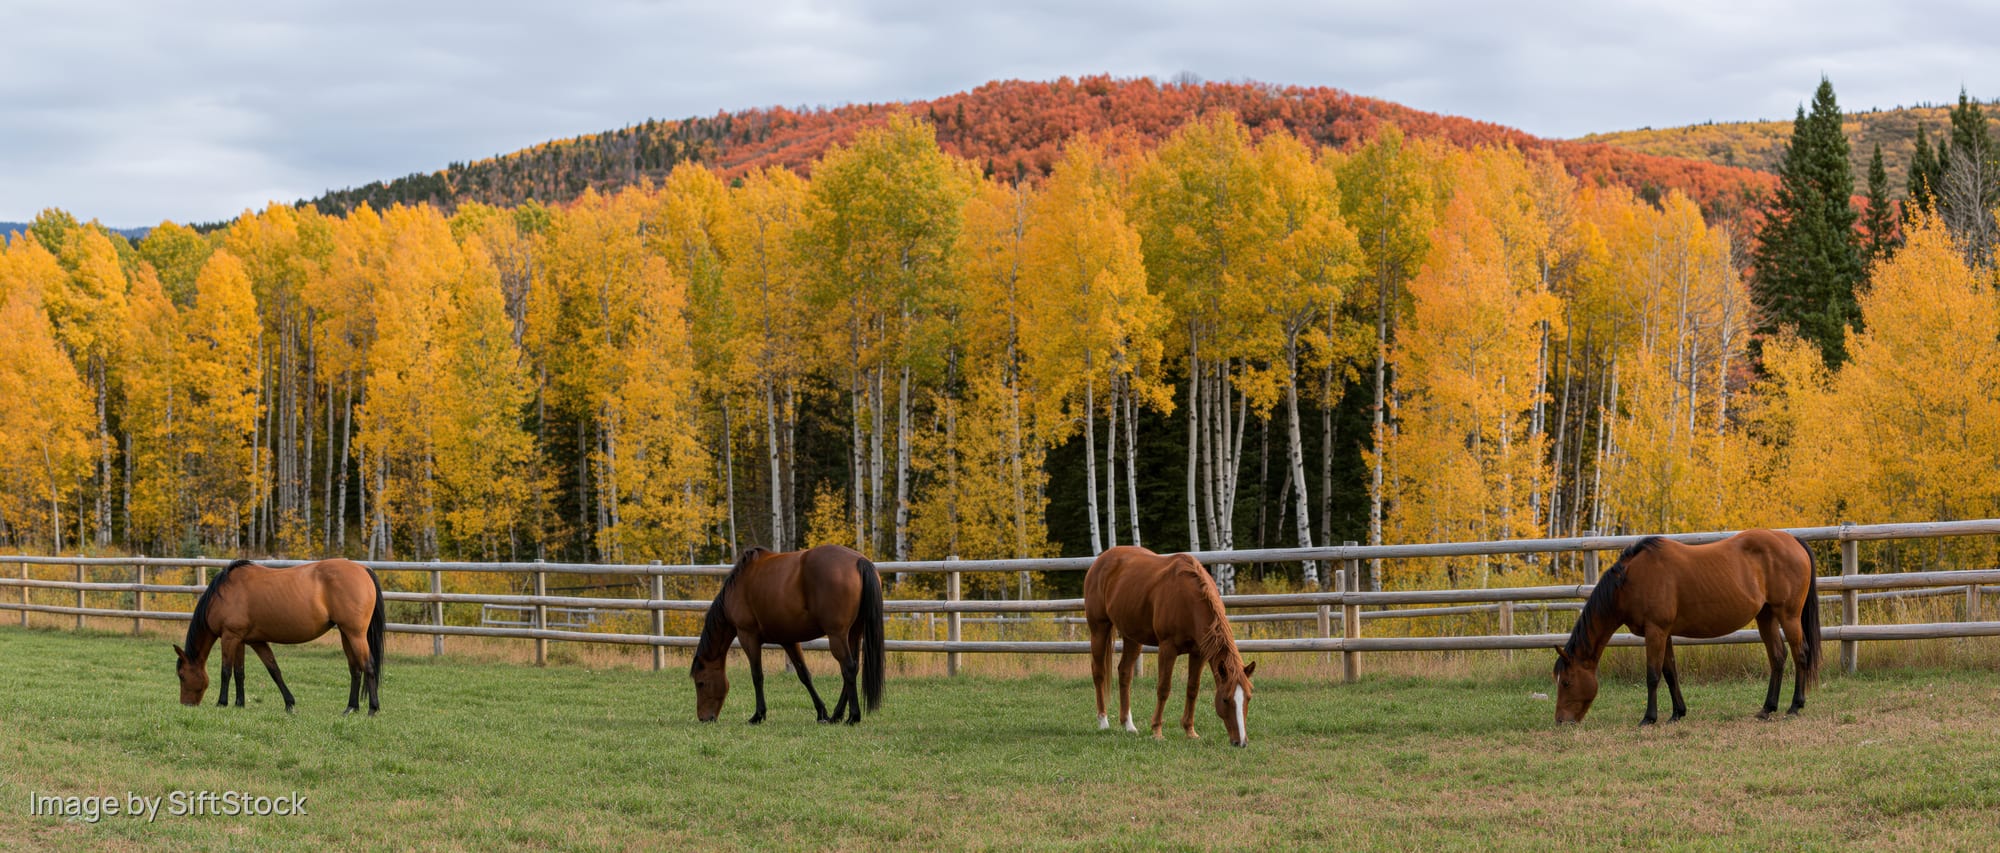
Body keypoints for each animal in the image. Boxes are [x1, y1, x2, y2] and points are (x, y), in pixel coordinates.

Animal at [172, 558, 386, 715]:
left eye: (182, 675)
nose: (185, 704)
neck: (222, 594)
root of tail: (363, 569)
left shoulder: (229, 637)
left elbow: (226, 671)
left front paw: (222, 703)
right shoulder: (248, 641)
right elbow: (261, 671)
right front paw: (246, 703)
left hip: (355, 634)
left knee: (368, 666)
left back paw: (373, 709)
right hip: (345, 633)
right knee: (355, 669)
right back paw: (351, 708)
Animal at [690, 545, 885, 725]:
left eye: (701, 683)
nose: (704, 718)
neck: (738, 586)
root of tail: (860, 561)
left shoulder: (748, 637)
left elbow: (757, 676)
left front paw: (758, 715)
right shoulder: (789, 640)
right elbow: (804, 675)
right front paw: (821, 712)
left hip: (837, 635)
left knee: (848, 668)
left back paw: (853, 717)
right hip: (854, 633)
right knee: (852, 668)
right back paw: (836, 715)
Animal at [1085, 546, 1257, 747]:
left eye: (1248, 697)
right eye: (1225, 699)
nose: (1241, 742)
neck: (1187, 599)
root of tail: (1101, 560)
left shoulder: (1199, 653)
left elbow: (1193, 689)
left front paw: (1190, 730)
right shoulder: (1167, 649)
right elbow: (1163, 688)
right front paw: (1157, 731)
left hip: (1132, 637)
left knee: (1125, 673)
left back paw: (1128, 725)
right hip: (1099, 629)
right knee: (1098, 672)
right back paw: (1103, 721)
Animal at [1552, 529, 1821, 725]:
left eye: (1566, 683)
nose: (1561, 722)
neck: (1631, 581)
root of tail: (1793, 540)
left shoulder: (1655, 632)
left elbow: (1653, 675)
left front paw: (1649, 718)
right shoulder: (1665, 633)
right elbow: (1670, 672)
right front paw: (1677, 713)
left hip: (1788, 616)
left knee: (1800, 654)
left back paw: (1794, 706)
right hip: (1766, 616)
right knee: (1778, 657)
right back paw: (1767, 709)